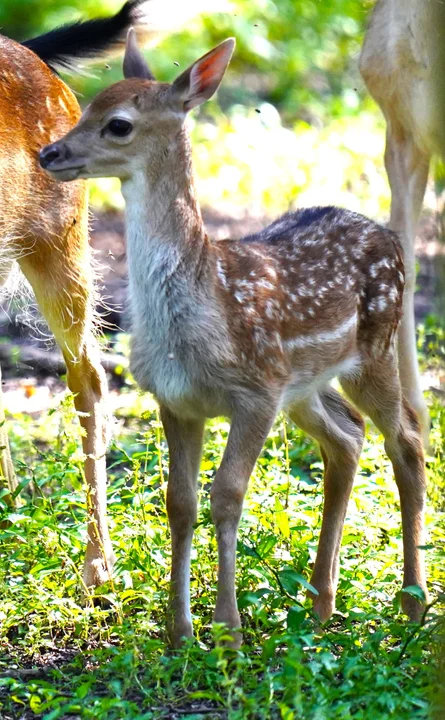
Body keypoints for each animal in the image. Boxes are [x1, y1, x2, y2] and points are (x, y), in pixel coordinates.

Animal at [41, 32, 426, 648]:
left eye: (118, 124)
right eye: (85, 107)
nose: (48, 154)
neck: (201, 306)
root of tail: (390, 238)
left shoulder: (255, 391)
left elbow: (227, 496)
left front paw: (227, 631)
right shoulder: (175, 399)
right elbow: (180, 501)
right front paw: (178, 633)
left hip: (372, 349)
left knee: (407, 438)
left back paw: (411, 605)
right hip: (303, 386)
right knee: (347, 437)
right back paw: (320, 605)